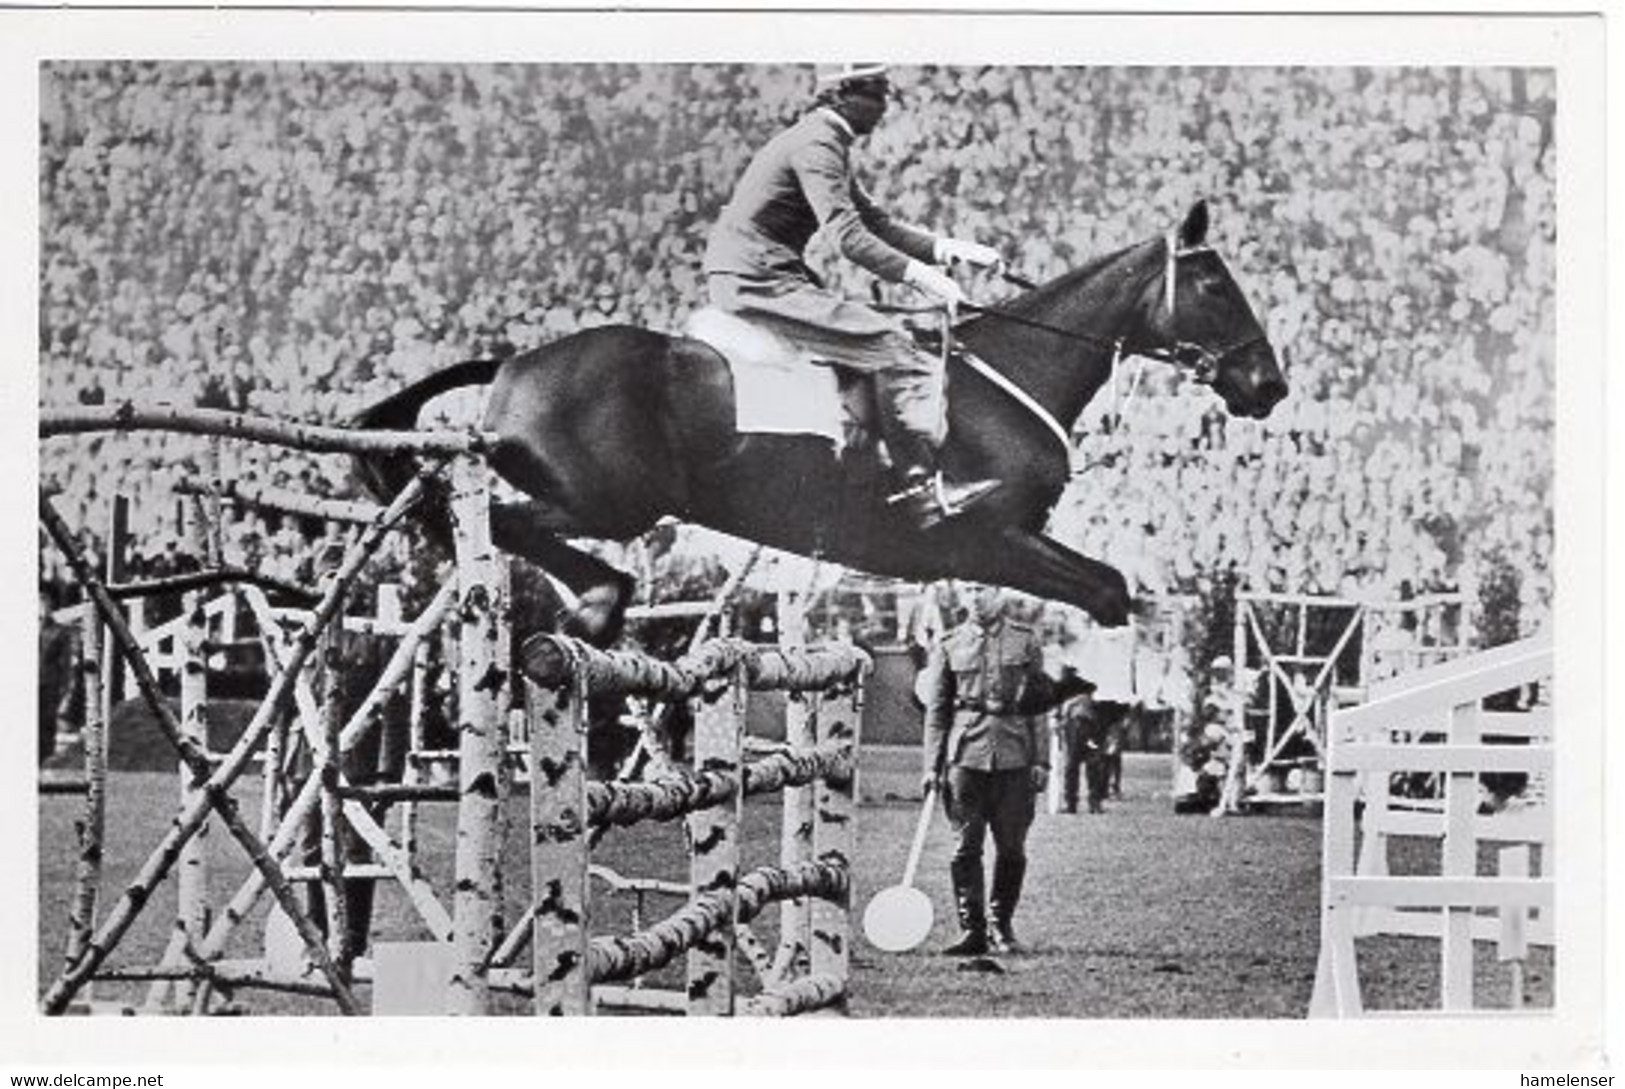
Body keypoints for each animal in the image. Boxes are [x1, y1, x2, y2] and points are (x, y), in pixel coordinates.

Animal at [355, 202, 1280, 650]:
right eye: (1213, 287)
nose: (1266, 383)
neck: (1014, 367)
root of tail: (514, 362)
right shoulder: (984, 539)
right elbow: (1107, 591)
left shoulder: (995, 548)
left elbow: (1104, 593)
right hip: (605, 502)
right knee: (497, 522)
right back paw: (597, 605)